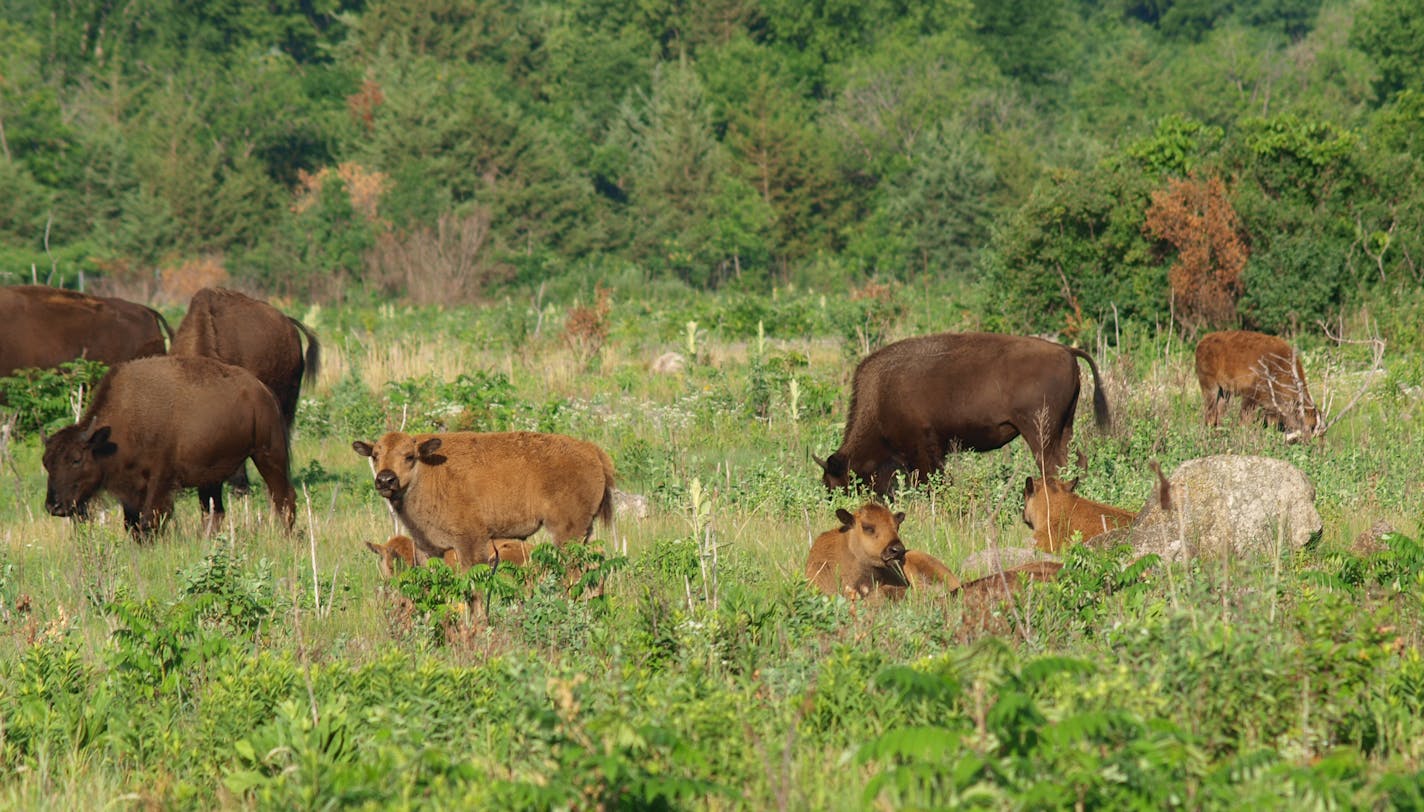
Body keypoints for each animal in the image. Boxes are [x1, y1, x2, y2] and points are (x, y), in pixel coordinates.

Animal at [42, 356, 297, 538]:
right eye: (46, 464)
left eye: (77, 459)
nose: (54, 506)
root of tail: (263, 391)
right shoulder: (131, 489)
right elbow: (132, 524)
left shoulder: (161, 479)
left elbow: (149, 520)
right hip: (211, 477)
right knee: (215, 512)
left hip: (268, 455)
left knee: (284, 498)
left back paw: (288, 537)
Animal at [348, 430, 612, 569]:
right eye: (375, 455)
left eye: (409, 456)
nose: (386, 480)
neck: (428, 471)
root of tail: (591, 450)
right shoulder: (430, 549)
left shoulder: (470, 543)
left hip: (567, 532)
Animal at [814, 329, 1110, 492]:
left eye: (836, 483)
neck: (880, 395)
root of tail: (1065, 350)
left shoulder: (923, 450)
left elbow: (930, 481)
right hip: (1065, 427)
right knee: (1074, 461)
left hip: (1039, 433)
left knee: (1051, 466)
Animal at [1190, 330, 1321, 441]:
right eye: (1311, 426)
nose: (1309, 441)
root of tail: (1202, 341)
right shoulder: (1251, 395)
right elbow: (1245, 419)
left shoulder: (1270, 405)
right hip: (1210, 386)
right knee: (1210, 414)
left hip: (1225, 392)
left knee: (1220, 413)